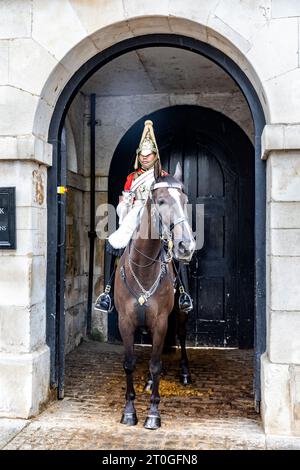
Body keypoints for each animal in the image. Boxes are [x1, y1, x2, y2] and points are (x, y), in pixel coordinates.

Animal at [113, 162, 196, 430]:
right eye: (160, 201)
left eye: (185, 199)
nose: (186, 246)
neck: (144, 266)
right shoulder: (125, 322)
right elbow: (129, 363)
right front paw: (129, 411)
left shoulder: (160, 322)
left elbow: (156, 365)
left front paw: (153, 414)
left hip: (179, 313)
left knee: (181, 336)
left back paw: (185, 373)